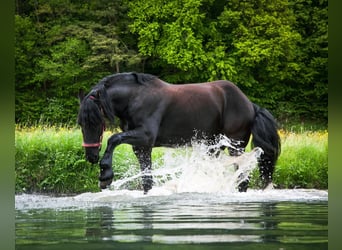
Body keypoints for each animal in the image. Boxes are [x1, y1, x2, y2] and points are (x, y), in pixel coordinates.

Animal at [77, 72, 280, 193]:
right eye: (81, 123)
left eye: (97, 122)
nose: (91, 156)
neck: (136, 98)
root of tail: (250, 104)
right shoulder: (142, 147)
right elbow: (147, 179)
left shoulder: (144, 136)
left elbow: (113, 139)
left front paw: (105, 174)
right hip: (213, 147)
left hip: (235, 146)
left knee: (242, 176)